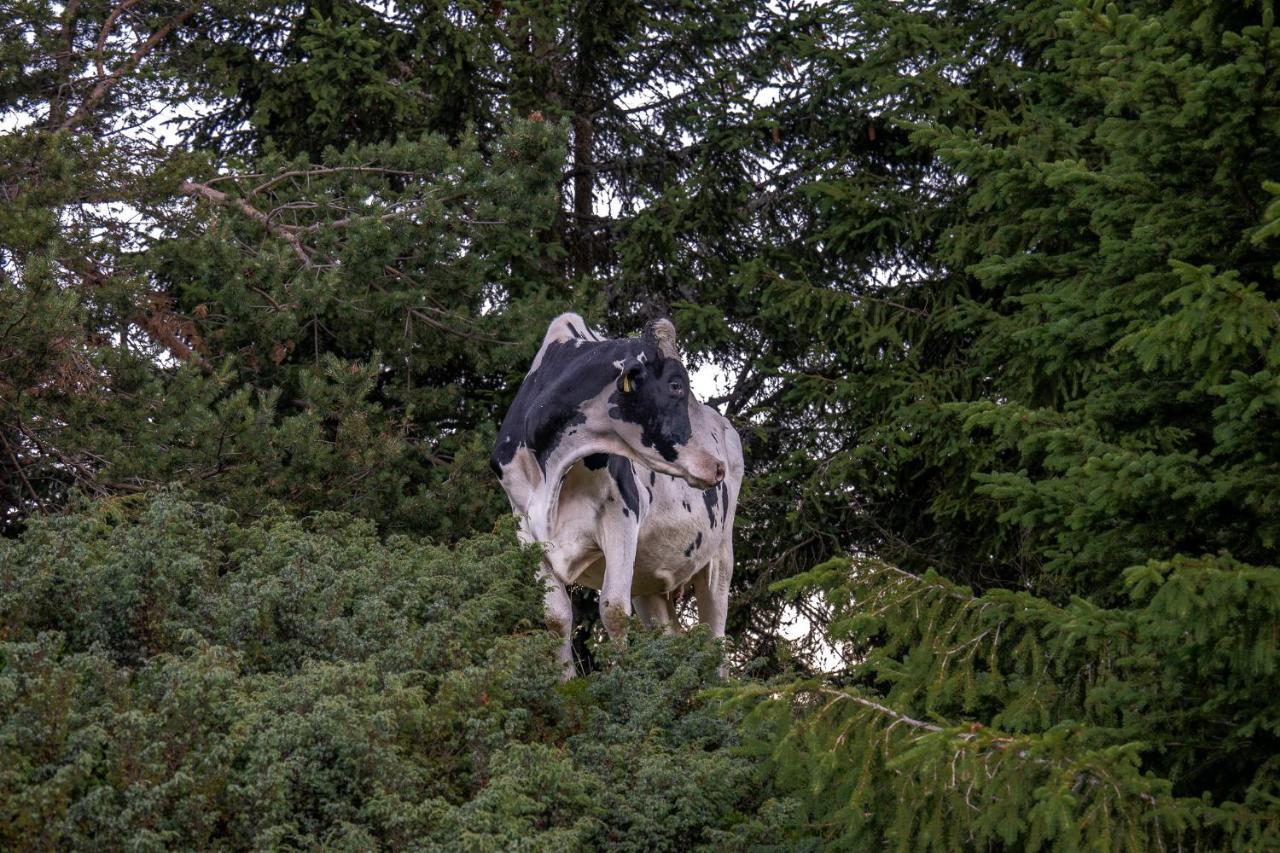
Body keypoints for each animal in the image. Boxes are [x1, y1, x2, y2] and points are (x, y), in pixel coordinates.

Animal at [491, 311, 747, 671]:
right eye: (675, 385)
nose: (717, 466)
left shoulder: (621, 514)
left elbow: (613, 610)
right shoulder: (525, 530)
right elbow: (556, 617)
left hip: (719, 555)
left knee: (716, 639)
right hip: (649, 577)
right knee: (670, 635)